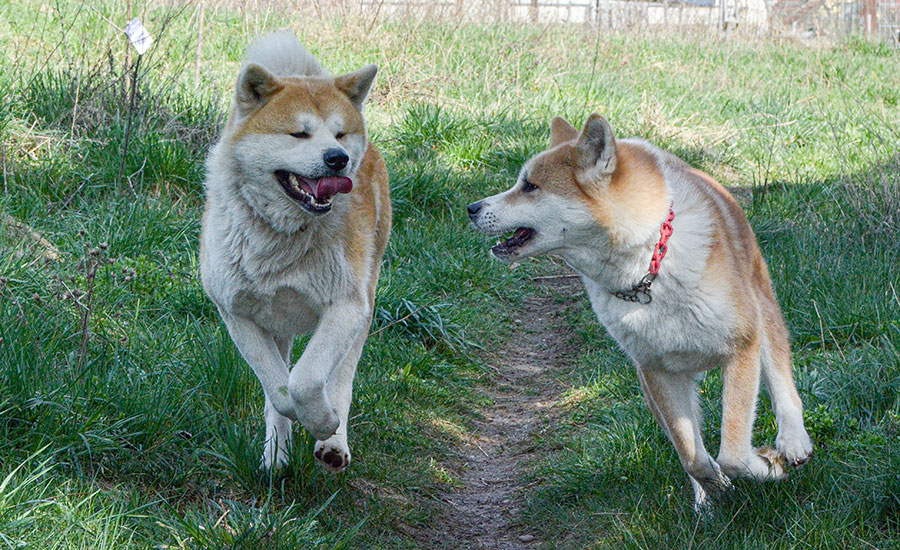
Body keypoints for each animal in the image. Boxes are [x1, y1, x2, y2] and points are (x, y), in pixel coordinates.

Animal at [199, 31, 390, 472]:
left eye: (339, 134)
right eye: (299, 134)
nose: (337, 159)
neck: (281, 239)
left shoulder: (346, 307)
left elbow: (305, 381)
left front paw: (323, 423)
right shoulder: (237, 314)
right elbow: (279, 388)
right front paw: (285, 432)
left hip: (364, 306)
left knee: (340, 378)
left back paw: (333, 444)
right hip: (280, 323)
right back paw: (276, 459)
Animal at [467, 113, 812, 508]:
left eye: (530, 186)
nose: (471, 209)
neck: (647, 270)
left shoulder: (741, 347)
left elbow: (734, 454)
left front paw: (768, 465)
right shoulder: (656, 371)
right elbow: (693, 457)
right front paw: (715, 486)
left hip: (761, 309)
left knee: (781, 381)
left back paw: (793, 442)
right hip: (655, 386)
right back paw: (704, 501)